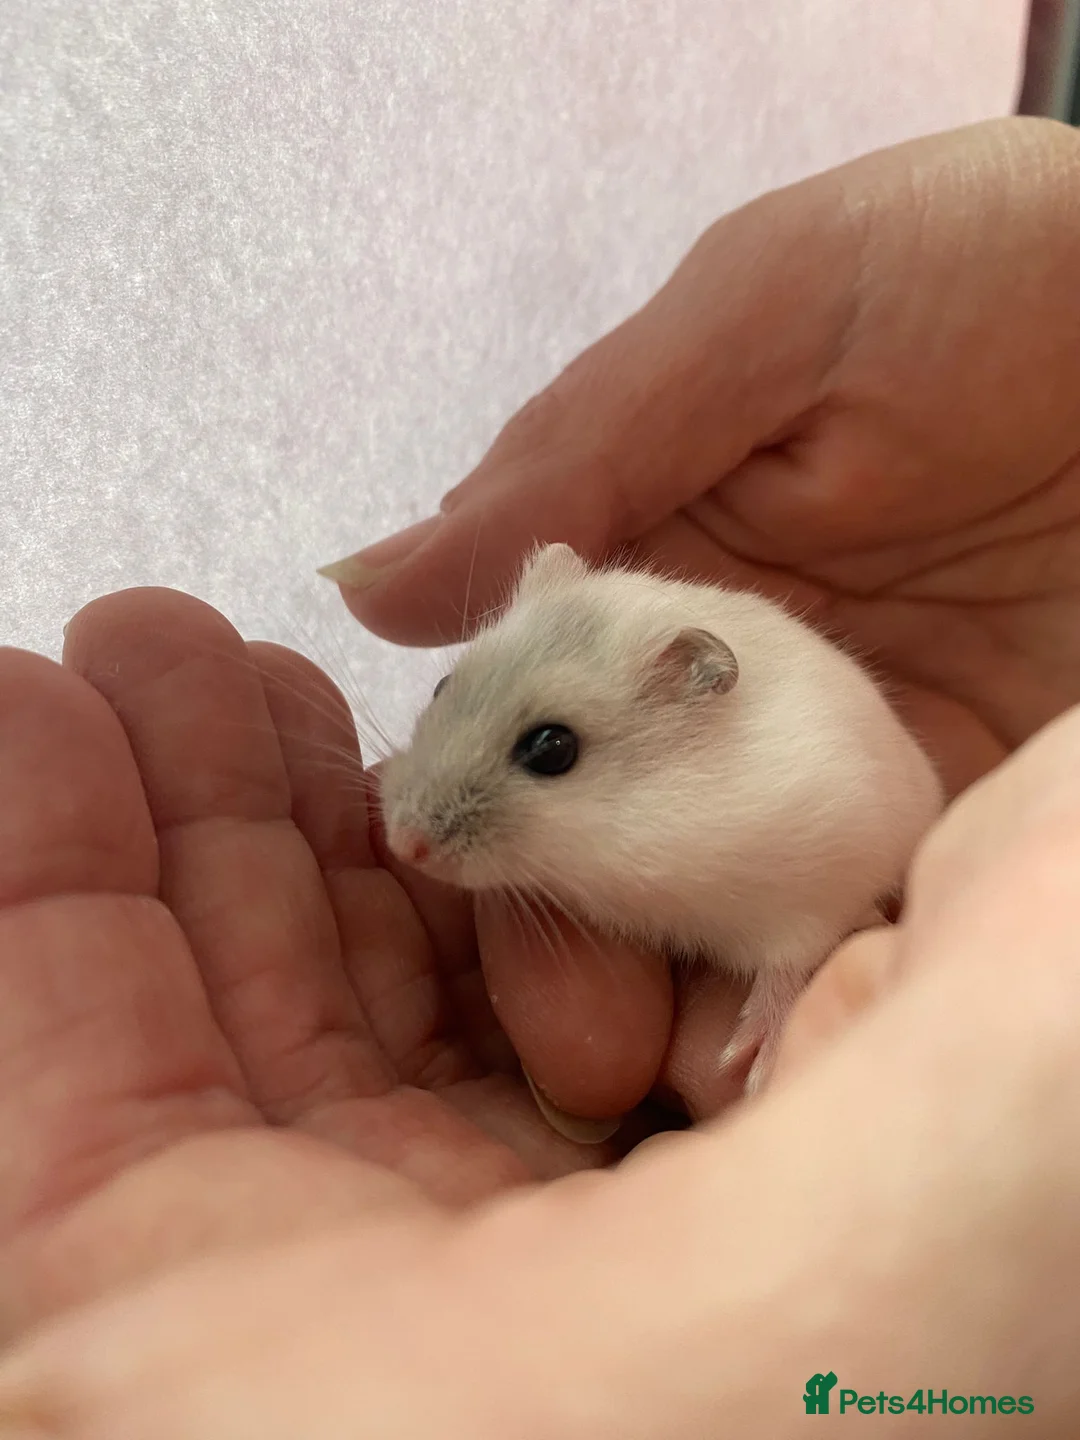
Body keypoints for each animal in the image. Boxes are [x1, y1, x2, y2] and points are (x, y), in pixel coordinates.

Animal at [378, 543, 945, 1094]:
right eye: (441, 686)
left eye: (553, 749)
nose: (404, 844)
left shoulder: (819, 884)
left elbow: (788, 964)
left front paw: (748, 1063)